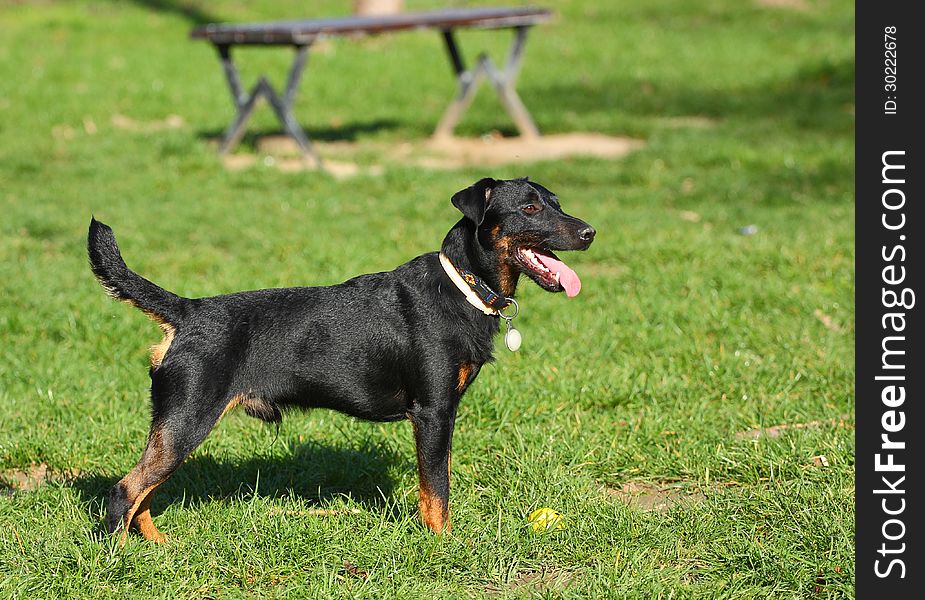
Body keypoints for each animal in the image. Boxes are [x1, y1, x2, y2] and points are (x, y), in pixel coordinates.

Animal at [90, 176, 596, 540]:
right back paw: (121, 558)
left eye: (556, 202)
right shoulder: (433, 413)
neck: (462, 284)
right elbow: (437, 490)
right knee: (125, 491)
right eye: (529, 209)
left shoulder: (441, 416)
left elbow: (438, 482)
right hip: (187, 419)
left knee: (143, 493)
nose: (590, 232)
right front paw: (444, 545)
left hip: (175, 426)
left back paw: (158, 546)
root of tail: (187, 311)